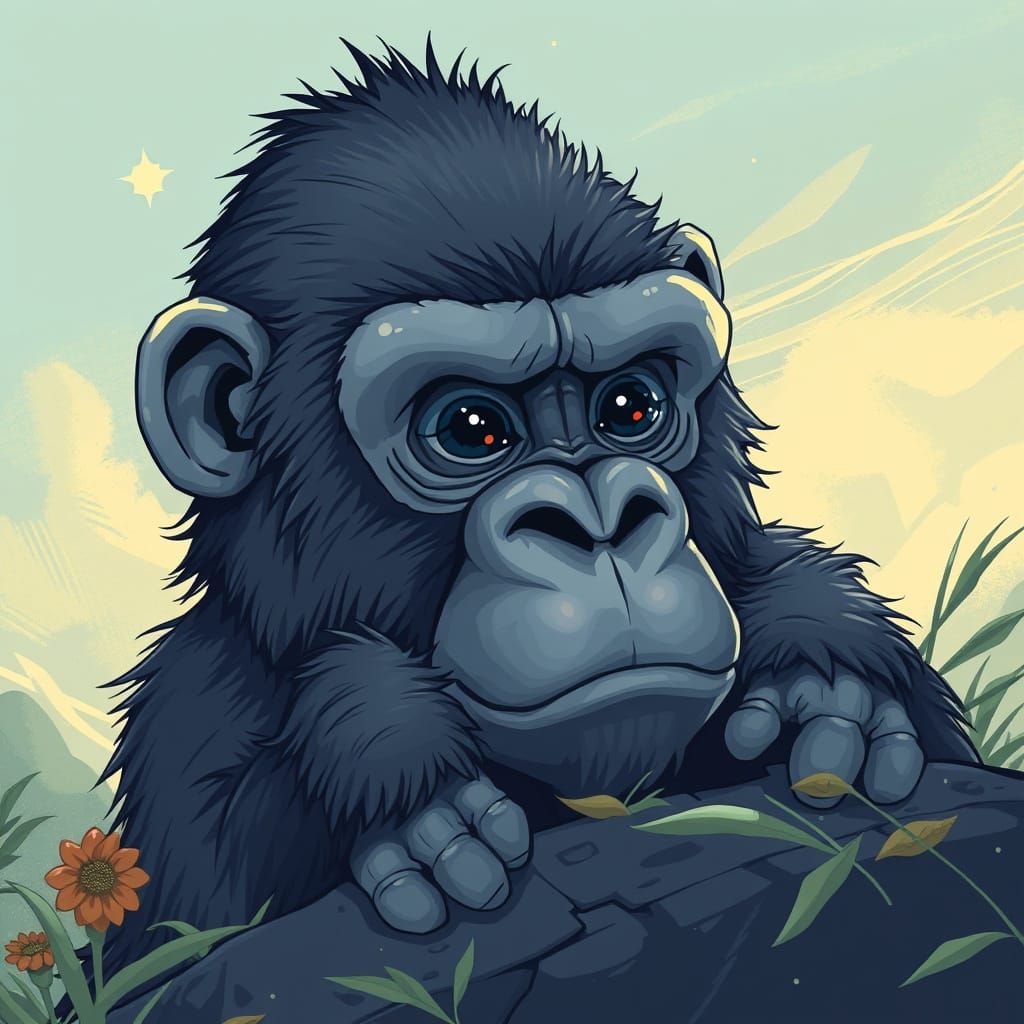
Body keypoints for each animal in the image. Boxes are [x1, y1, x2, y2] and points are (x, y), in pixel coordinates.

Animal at [94, 40, 977, 979]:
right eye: (471, 428)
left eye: (630, 406)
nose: (601, 523)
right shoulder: (181, 743)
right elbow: (199, 924)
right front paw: (390, 755)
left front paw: (828, 671)